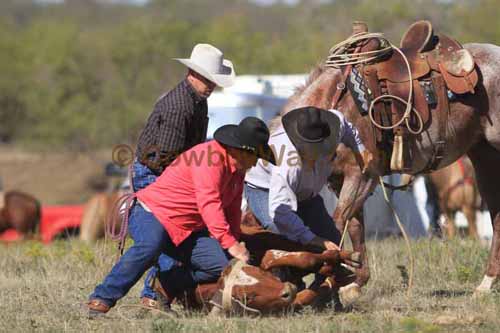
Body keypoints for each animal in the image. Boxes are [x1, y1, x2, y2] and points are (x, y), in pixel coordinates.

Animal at [280, 35, 500, 296]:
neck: (336, 111)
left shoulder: (362, 176)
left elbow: (338, 222)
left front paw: (323, 281)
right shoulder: (340, 180)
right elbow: (354, 226)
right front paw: (356, 281)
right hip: (484, 158)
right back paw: (486, 282)